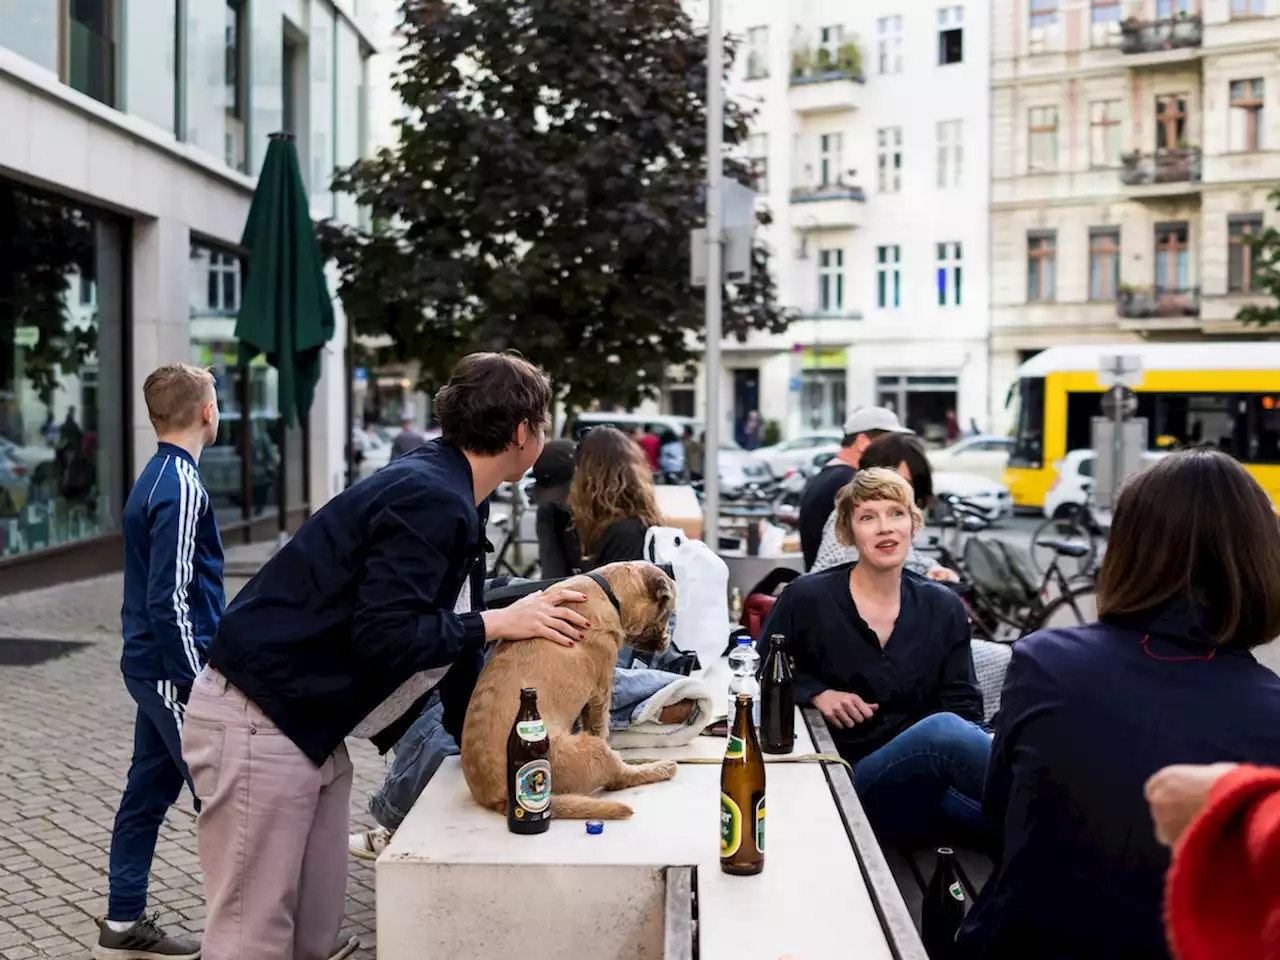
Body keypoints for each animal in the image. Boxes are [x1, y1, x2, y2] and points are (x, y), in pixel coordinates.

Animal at [460, 563, 680, 819]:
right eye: (669, 613)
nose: (668, 641)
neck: (607, 590)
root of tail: (502, 799)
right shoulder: (601, 691)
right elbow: (600, 727)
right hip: (592, 749)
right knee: (619, 777)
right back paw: (660, 768)